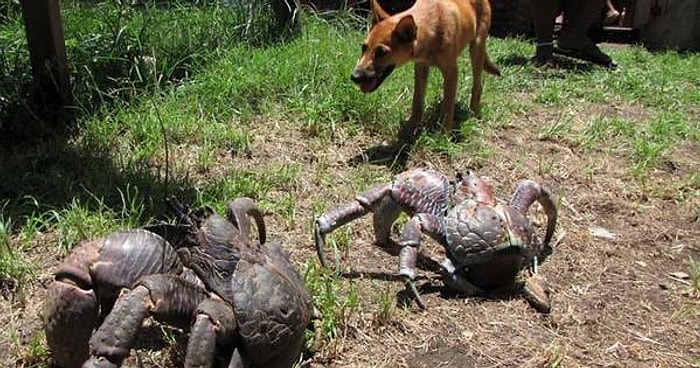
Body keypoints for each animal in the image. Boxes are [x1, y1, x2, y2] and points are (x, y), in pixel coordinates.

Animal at [352, 0, 500, 134]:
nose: (354, 77)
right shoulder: (421, 67)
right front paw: (411, 127)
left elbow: (448, 107)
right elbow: (417, 100)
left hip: (476, 49)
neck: (433, 27)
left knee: (477, 86)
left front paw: (444, 135)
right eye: (364, 48)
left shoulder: (451, 72)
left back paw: (473, 113)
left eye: (382, 52)